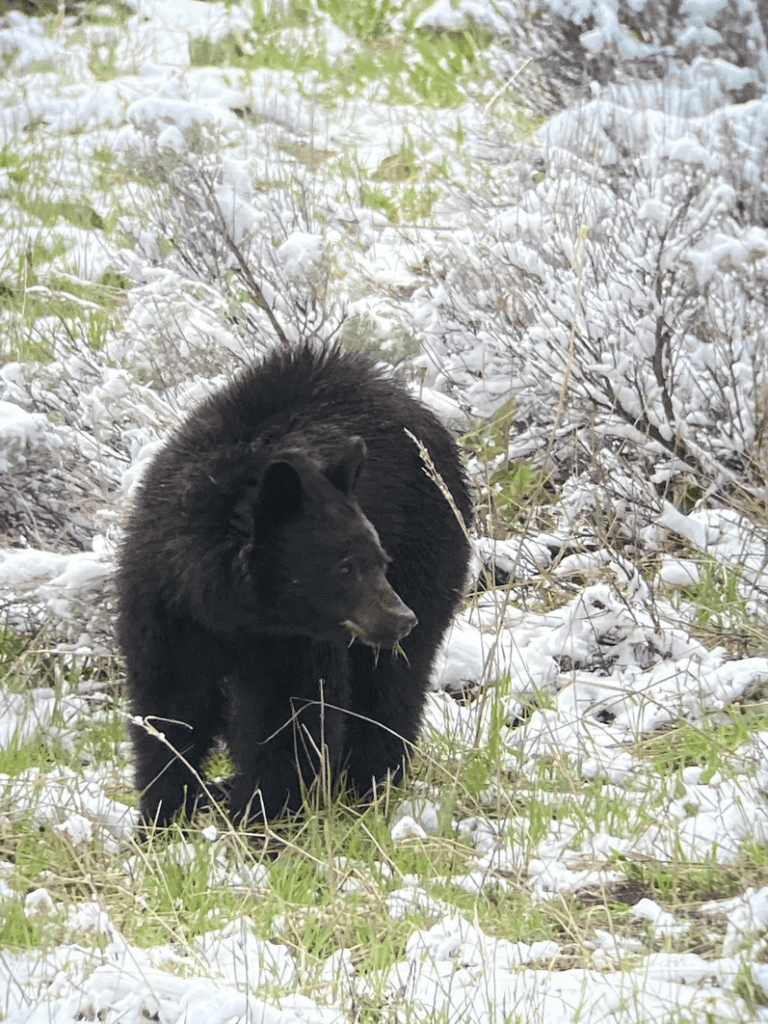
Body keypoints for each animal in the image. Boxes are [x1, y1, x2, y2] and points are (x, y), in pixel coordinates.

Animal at [116, 342, 472, 827]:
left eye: (378, 559)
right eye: (344, 567)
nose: (401, 619)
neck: (231, 611)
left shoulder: (293, 642)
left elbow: (287, 715)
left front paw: (266, 816)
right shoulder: (164, 612)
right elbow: (170, 707)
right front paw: (164, 814)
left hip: (429, 548)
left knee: (391, 687)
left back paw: (368, 782)